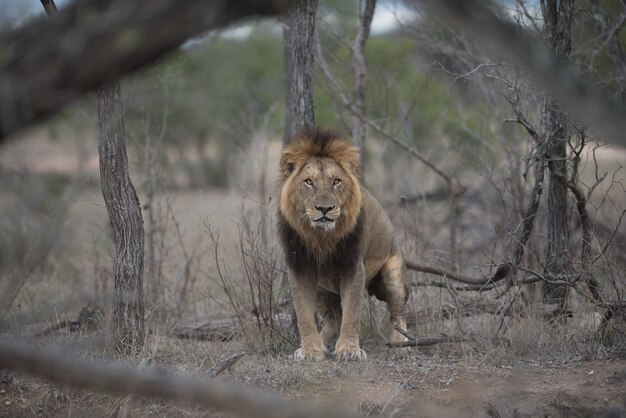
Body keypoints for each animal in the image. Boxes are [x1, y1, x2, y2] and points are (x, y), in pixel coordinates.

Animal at [276, 127, 404, 360]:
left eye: (336, 181)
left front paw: (349, 351)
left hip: (393, 274)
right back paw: (324, 344)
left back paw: (400, 342)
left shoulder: (353, 267)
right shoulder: (299, 267)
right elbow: (303, 314)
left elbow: (352, 313)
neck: (321, 238)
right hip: (323, 290)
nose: (324, 209)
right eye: (309, 182)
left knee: (397, 314)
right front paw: (310, 351)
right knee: (333, 318)